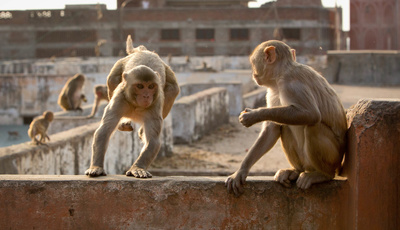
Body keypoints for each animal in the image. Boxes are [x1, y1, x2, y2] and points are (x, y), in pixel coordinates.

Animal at [86, 35, 180, 178]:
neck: (136, 105)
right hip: (119, 65)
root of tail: (144, 51)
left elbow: (153, 140)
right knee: (112, 79)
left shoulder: (155, 104)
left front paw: (138, 168)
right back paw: (123, 123)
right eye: (140, 86)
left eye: (151, 86)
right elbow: (104, 131)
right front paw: (96, 167)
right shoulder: (119, 99)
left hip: (167, 72)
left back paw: (140, 131)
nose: (146, 96)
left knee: (173, 89)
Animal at [225, 40, 346, 195]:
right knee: (285, 125)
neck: (280, 74)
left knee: (313, 126)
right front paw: (241, 171)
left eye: (253, 62)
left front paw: (253, 115)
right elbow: (271, 129)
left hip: (333, 157)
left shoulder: (290, 84)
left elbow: (311, 113)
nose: (253, 73)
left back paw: (322, 174)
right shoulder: (272, 91)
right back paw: (295, 170)